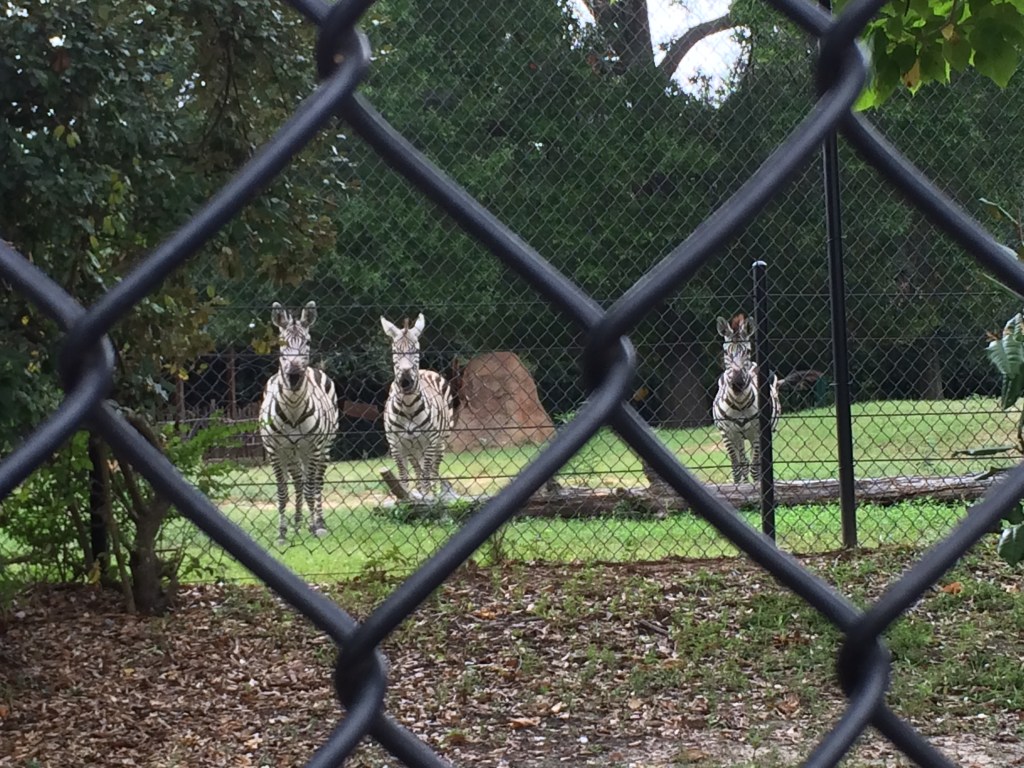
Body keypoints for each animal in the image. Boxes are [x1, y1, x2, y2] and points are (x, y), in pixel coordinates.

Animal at [259, 301, 339, 543]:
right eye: (282, 343)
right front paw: (282, 533)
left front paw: (315, 527)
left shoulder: (312, 448)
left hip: (324, 447)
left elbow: (312, 489)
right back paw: (296, 523)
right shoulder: (275, 450)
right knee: (297, 482)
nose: (294, 375)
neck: (293, 408)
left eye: (308, 342)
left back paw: (318, 521)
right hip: (292, 453)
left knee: (316, 483)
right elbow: (282, 492)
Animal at [380, 312, 455, 501]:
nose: (406, 377)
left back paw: (434, 493)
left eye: (416, 350)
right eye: (395, 351)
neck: (408, 406)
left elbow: (427, 471)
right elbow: (403, 473)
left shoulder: (430, 441)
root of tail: (425, 370)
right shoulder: (396, 444)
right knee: (417, 468)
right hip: (412, 447)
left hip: (441, 440)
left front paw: (428, 497)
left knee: (433, 469)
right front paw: (405, 497)